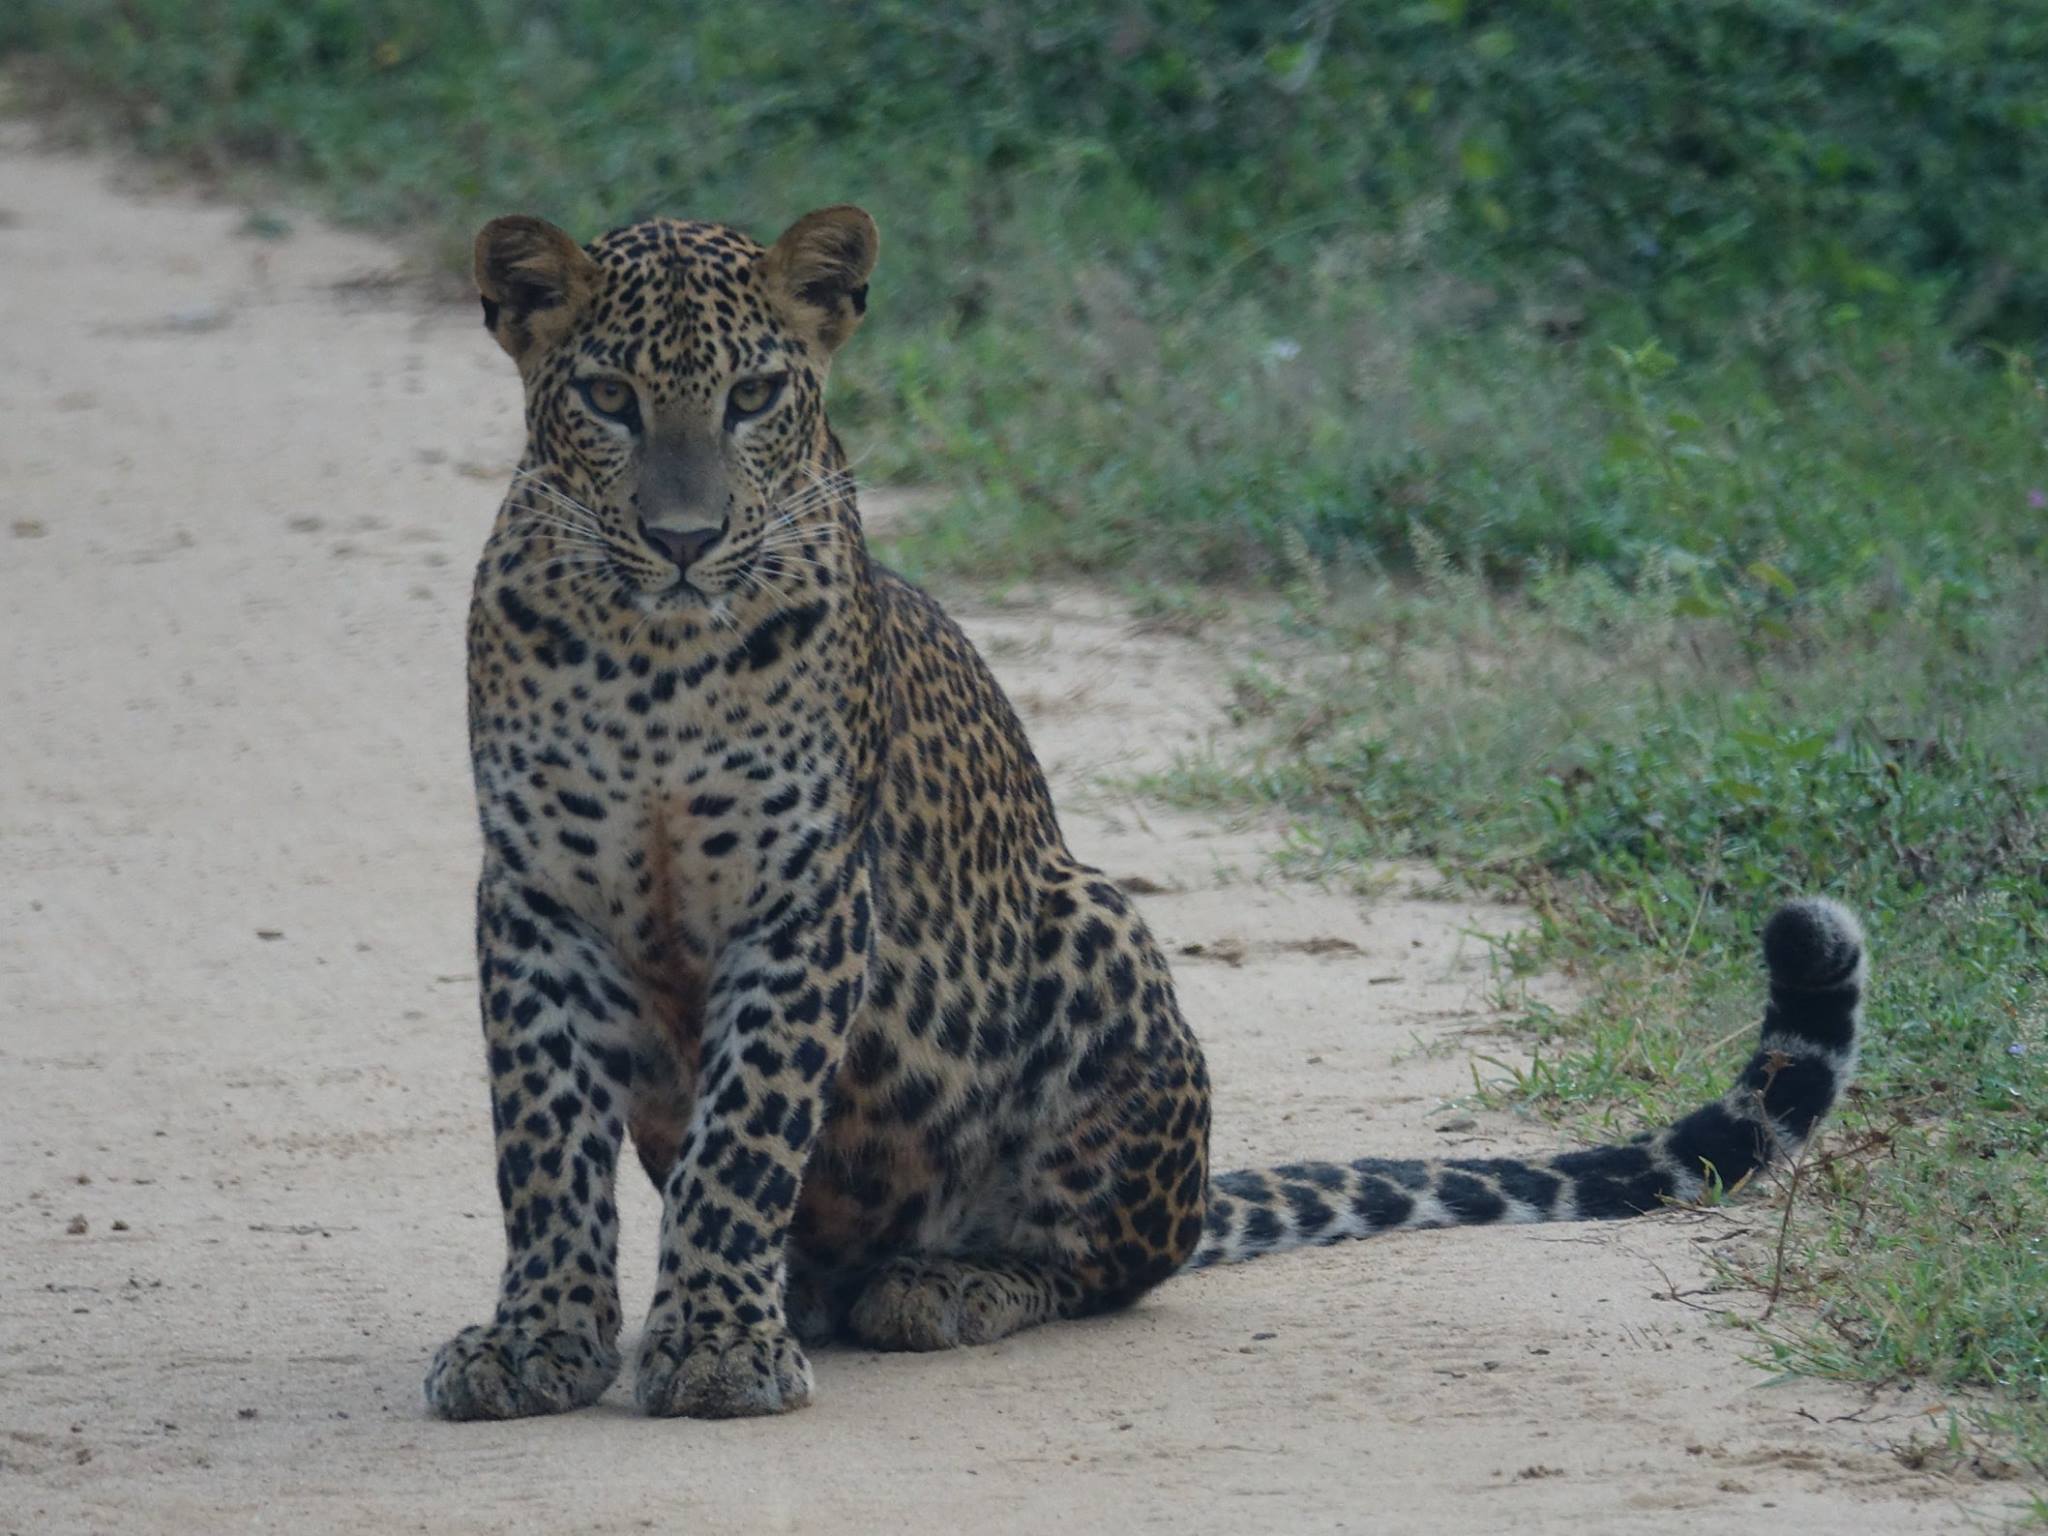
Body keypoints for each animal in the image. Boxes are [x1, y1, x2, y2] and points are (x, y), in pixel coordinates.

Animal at [423, 204, 1869, 1421]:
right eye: (608, 399)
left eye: (754, 398)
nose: (685, 538)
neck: (650, 653)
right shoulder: (536, 898)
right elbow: (542, 1138)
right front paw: (539, 1340)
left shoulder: (802, 899)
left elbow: (746, 1140)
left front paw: (716, 1346)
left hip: (1092, 924)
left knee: (1097, 1264)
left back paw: (941, 1283)